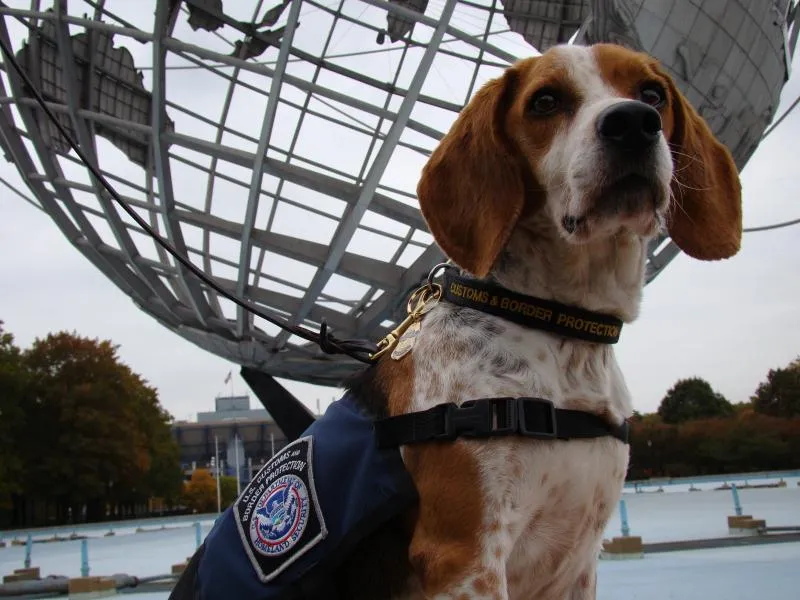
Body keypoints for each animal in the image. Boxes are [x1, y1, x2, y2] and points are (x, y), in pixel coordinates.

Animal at [334, 43, 740, 600]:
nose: (634, 123)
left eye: (653, 93)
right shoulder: (466, 559)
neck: (562, 329)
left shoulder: (579, 562)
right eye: (545, 102)